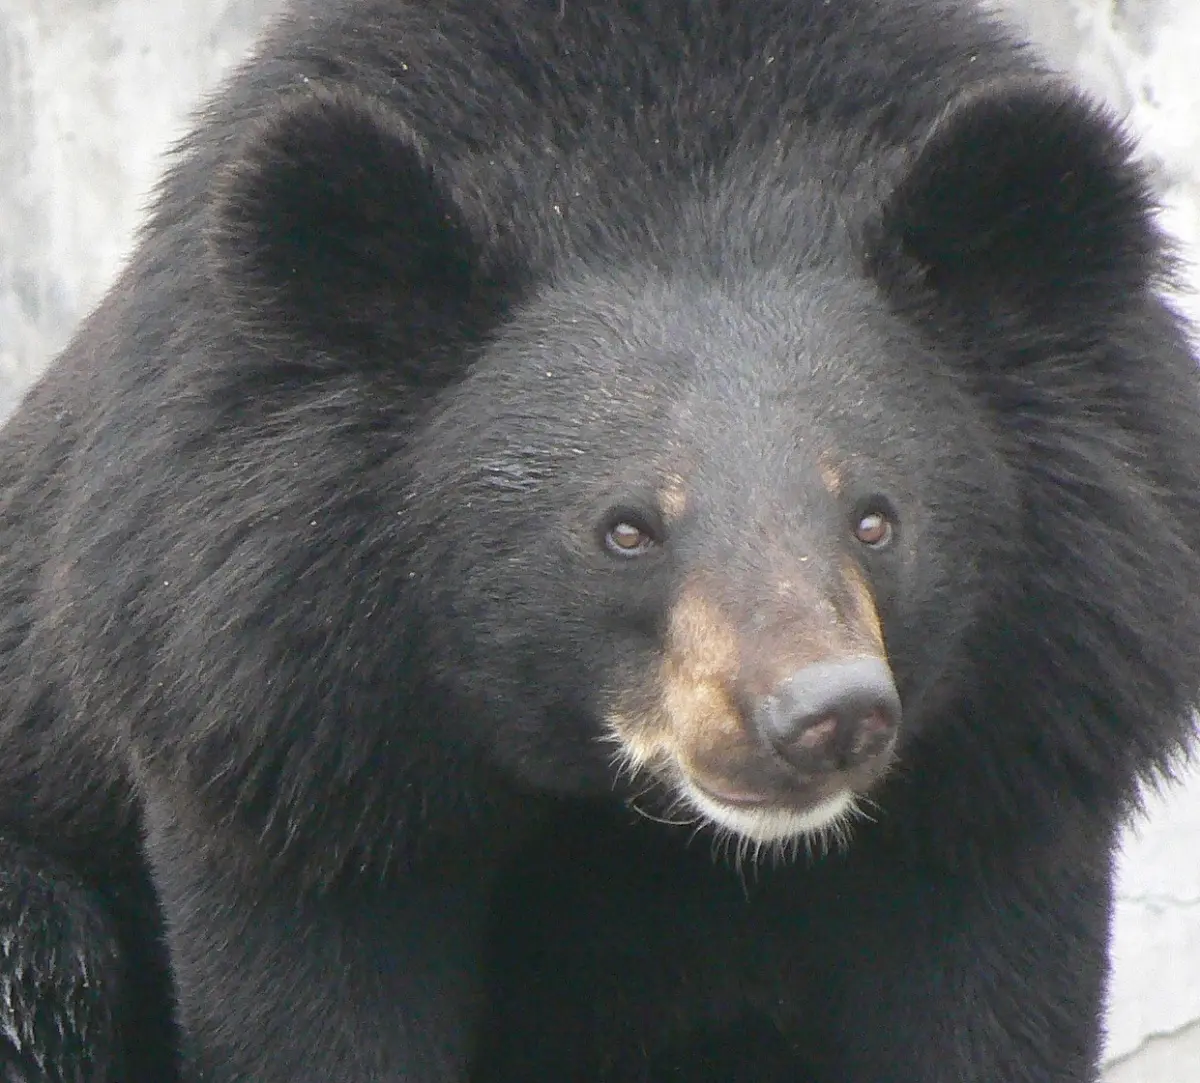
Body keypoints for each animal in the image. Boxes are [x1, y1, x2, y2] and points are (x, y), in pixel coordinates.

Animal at [2, 0, 1200, 1080]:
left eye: (875, 518)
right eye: (626, 530)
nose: (824, 716)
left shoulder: (1021, 742)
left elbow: (984, 1001)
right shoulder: (285, 728)